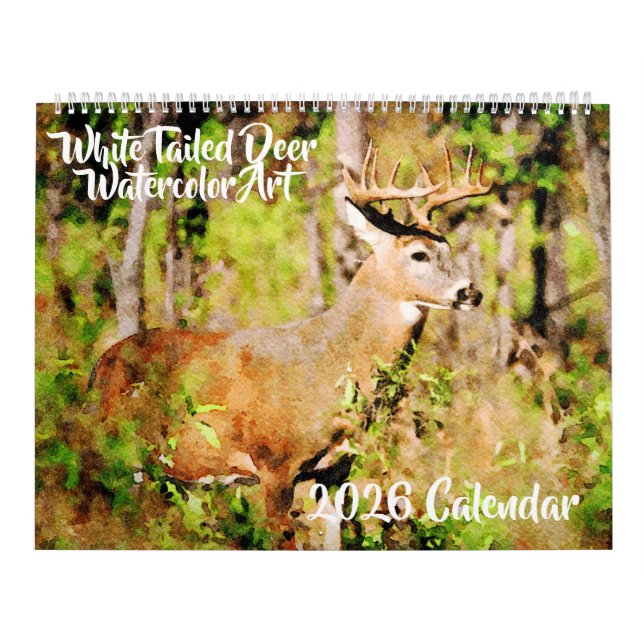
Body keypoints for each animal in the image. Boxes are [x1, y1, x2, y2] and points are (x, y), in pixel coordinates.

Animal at [88, 140, 491, 548]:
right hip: (117, 445)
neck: (331, 366)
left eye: (449, 250)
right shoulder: (274, 462)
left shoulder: (334, 469)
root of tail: (101, 363)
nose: (471, 292)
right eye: (418, 254)